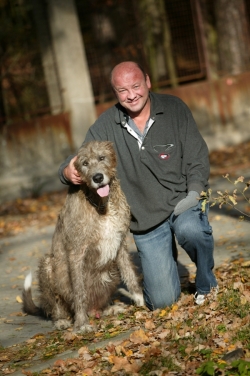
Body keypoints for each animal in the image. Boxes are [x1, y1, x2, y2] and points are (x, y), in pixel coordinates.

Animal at [23, 140, 145, 332]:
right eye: (84, 163)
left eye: (102, 158)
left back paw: (108, 308)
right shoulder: (76, 252)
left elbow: (130, 274)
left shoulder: (120, 244)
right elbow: (79, 291)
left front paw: (141, 301)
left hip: (110, 274)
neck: (100, 205)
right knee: (57, 306)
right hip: (48, 266)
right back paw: (62, 320)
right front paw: (81, 324)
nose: (98, 178)